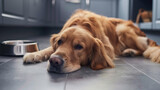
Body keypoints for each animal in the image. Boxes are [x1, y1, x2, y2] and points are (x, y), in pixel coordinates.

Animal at [23, 9, 159, 73]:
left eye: (79, 47)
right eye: (60, 42)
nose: (54, 61)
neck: (82, 23)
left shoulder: (108, 49)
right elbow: (49, 49)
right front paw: (34, 54)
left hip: (122, 30)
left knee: (145, 48)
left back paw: (130, 51)